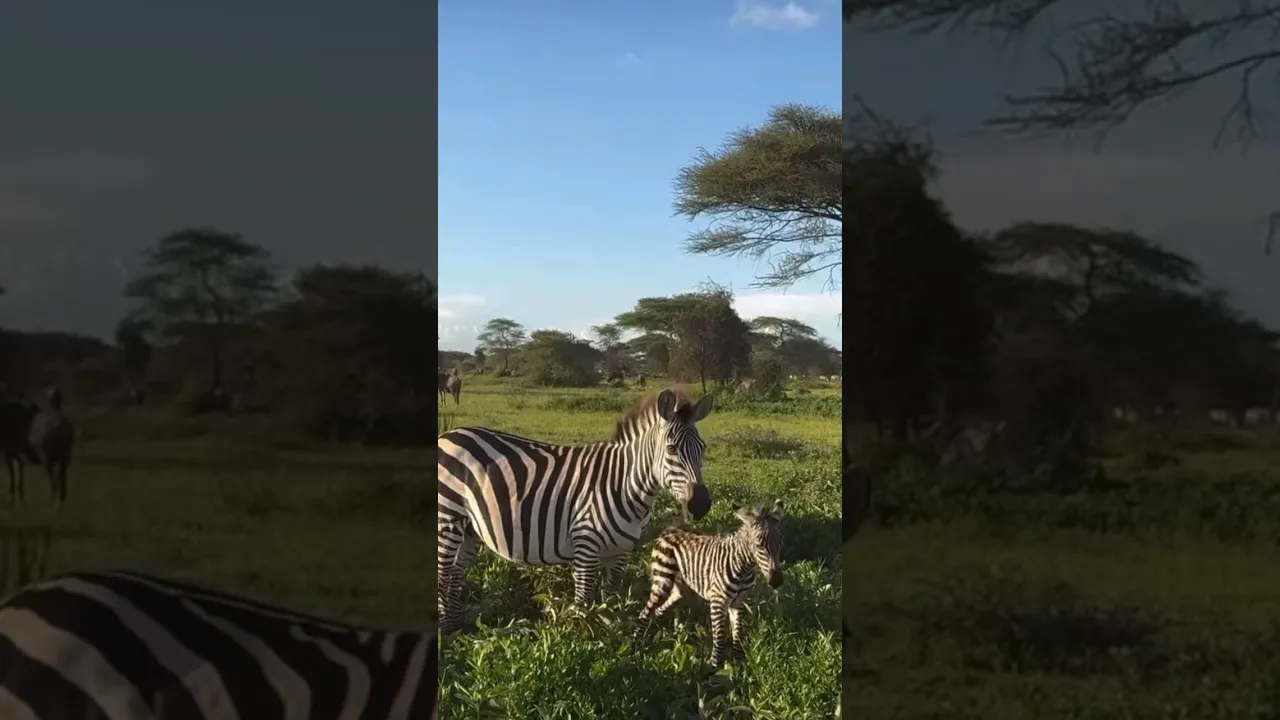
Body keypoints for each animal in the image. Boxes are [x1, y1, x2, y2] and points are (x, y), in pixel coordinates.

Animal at [437, 387, 715, 635]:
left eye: (703, 448)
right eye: (671, 449)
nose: (701, 504)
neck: (624, 484)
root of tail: (447, 436)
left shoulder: (621, 552)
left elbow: (610, 602)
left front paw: (611, 640)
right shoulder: (586, 546)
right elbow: (584, 602)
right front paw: (579, 641)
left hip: (469, 528)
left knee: (455, 574)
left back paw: (457, 627)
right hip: (447, 518)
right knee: (442, 574)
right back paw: (444, 632)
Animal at [633, 502, 784, 668]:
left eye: (781, 543)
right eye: (759, 545)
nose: (777, 581)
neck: (744, 568)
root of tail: (670, 529)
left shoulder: (738, 602)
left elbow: (738, 632)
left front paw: (738, 661)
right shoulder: (718, 602)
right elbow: (719, 637)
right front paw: (714, 666)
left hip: (681, 587)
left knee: (664, 606)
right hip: (662, 581)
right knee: (646, 611)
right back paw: (635, 645)